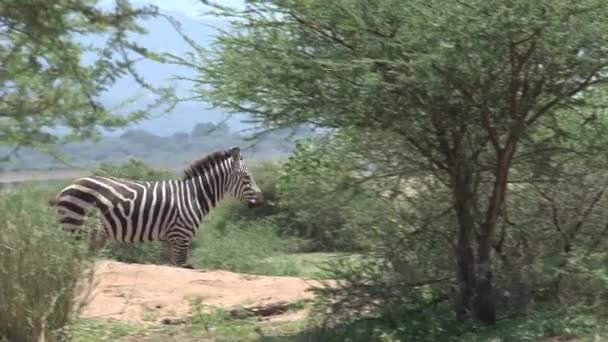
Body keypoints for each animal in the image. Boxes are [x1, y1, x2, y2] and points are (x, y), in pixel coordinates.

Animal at [48, 146, 262, 268]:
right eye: (247, 178)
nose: (257, 204)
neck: (194, 195)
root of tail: (67, 188)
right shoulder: (181, 238)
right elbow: (183, 268)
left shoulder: (168, 239)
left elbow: (167, 267)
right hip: (75, 227)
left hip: (85, 232)